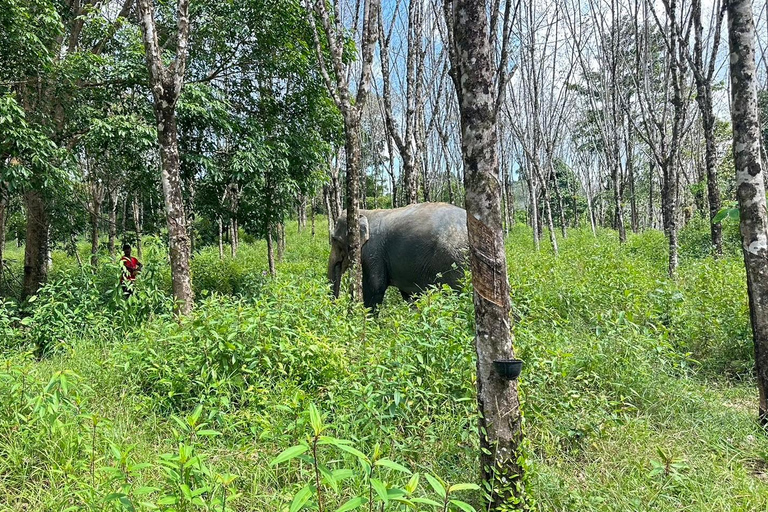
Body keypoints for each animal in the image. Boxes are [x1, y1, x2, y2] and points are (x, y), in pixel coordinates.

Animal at [326, 203, 468, 308]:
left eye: (335, 240)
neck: (365, 212)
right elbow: (408, 295)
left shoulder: (374, 252)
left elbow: (375, 288)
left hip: (454, 260)